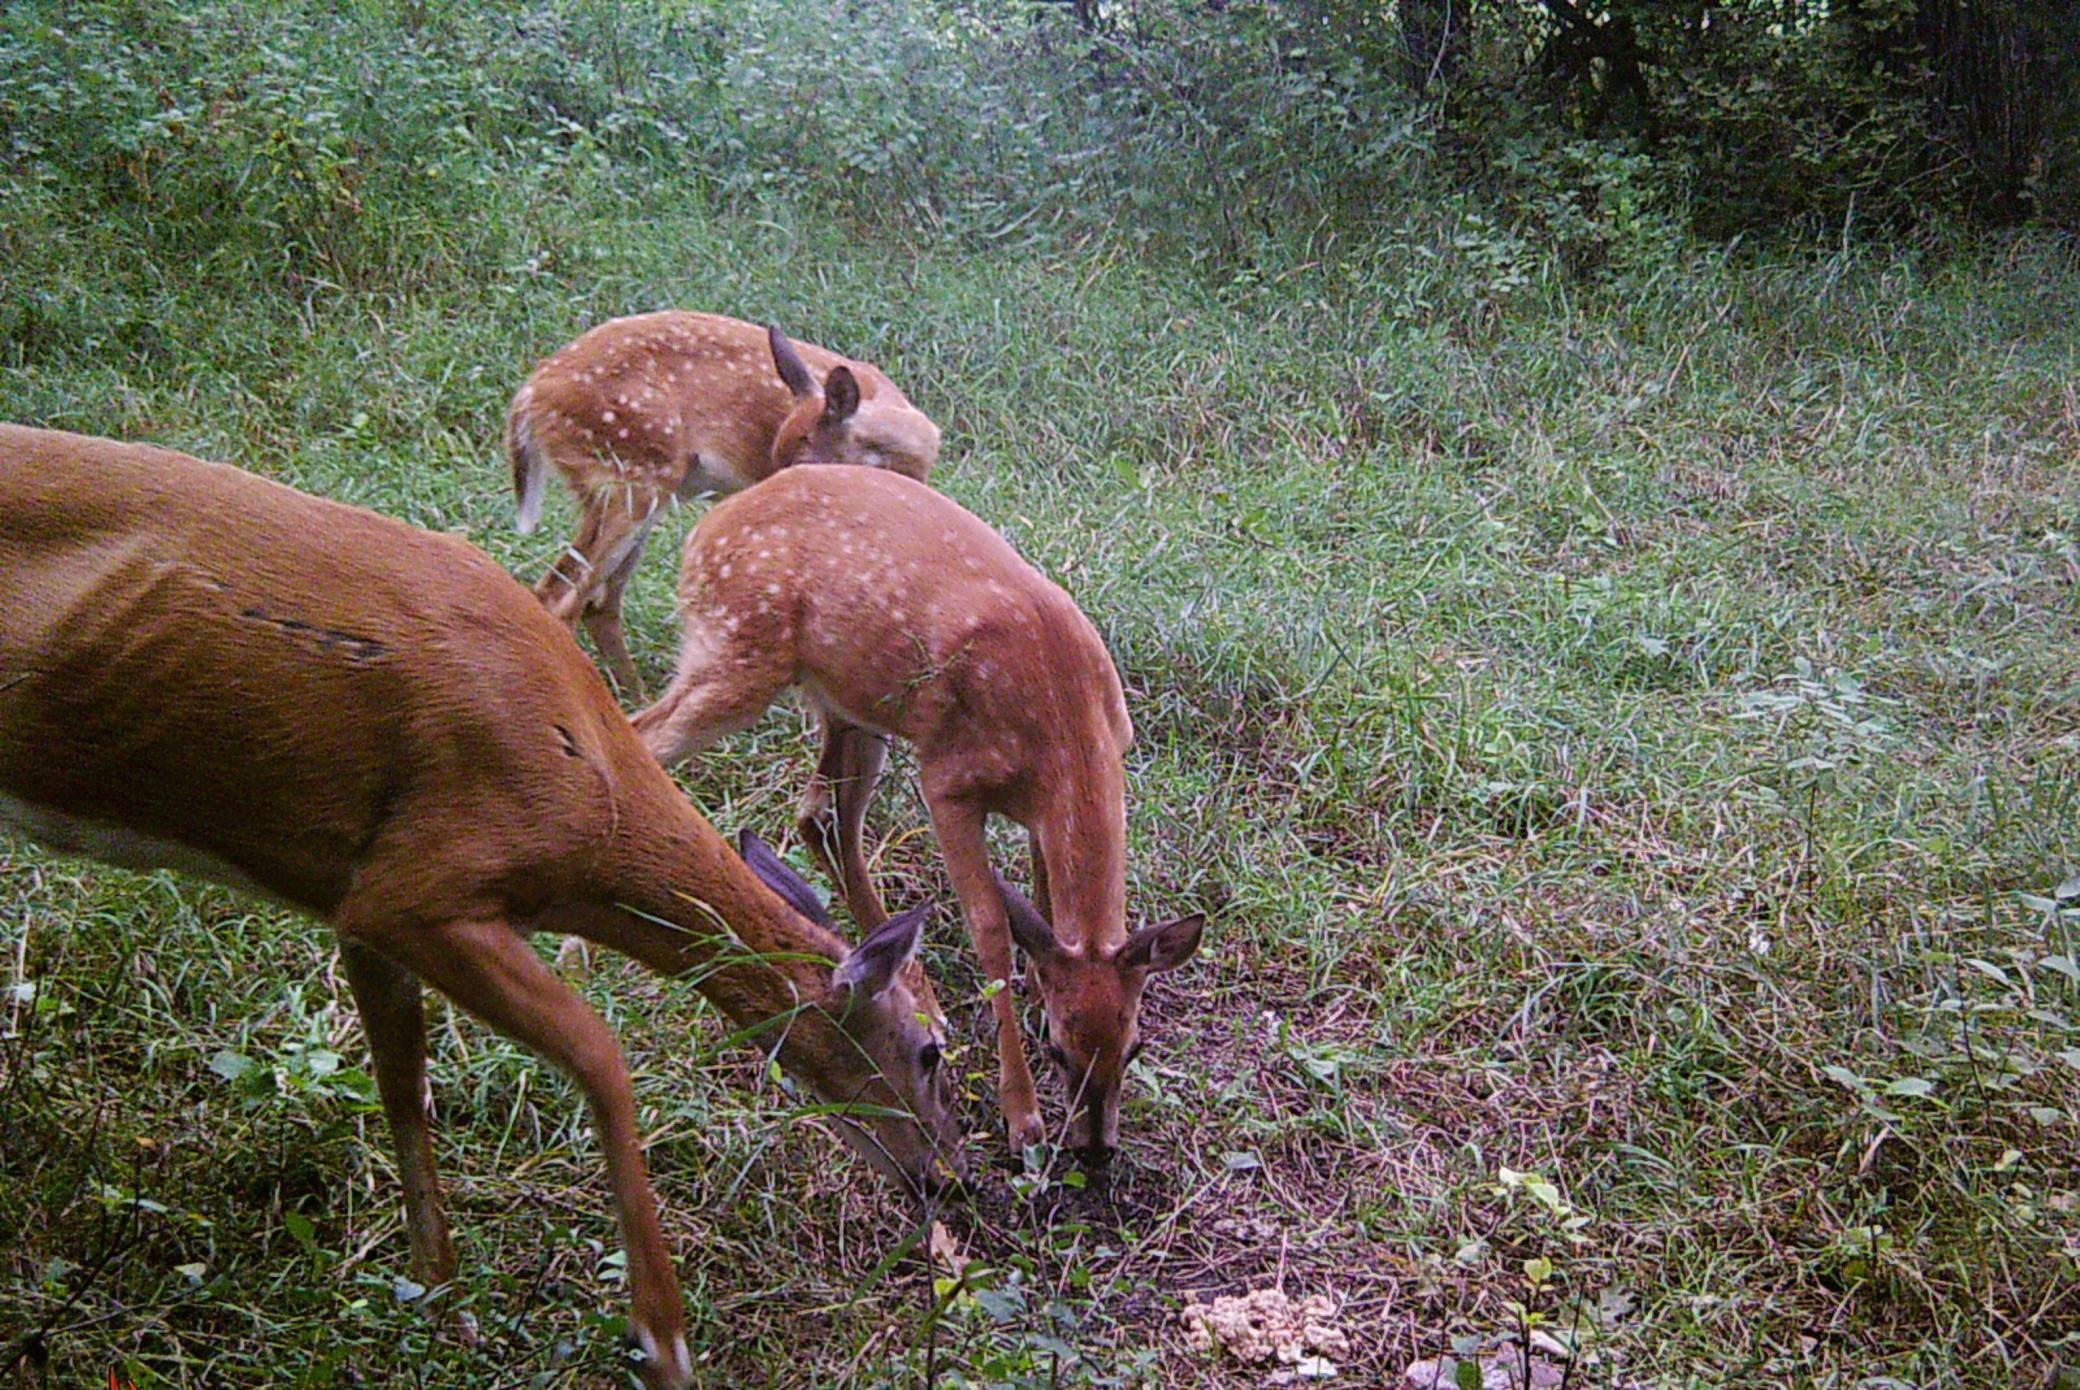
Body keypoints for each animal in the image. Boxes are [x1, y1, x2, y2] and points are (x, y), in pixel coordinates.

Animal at [0, 424, 965, 1390]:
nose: (948, 1177)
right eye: (931, 1049)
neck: (593, 803)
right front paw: (663, 1337)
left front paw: (444, 1306)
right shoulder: (421, 886)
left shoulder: (359, 905)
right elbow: (600, 1053)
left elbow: (405, 1092)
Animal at [506, 311, 942, 699]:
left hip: (642, 492)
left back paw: (636, 697)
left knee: (598, 603)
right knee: (561, 595)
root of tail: (528, 396)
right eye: (779, 459)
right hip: (629, 477)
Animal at [629, 467, 1206, 1165]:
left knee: (820, 814)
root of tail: (705, 526)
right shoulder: (948, 782)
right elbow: (991, 930)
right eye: (1057, 1051)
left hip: (847, 705)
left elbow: (1042, 900)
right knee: (644, 735)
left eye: (1134, 1047)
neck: (1062, 720)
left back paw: (913, 986)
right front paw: (1022, 1118)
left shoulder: (1047, 806)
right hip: (735, 647)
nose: (1095, 1150)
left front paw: (1035, 988)